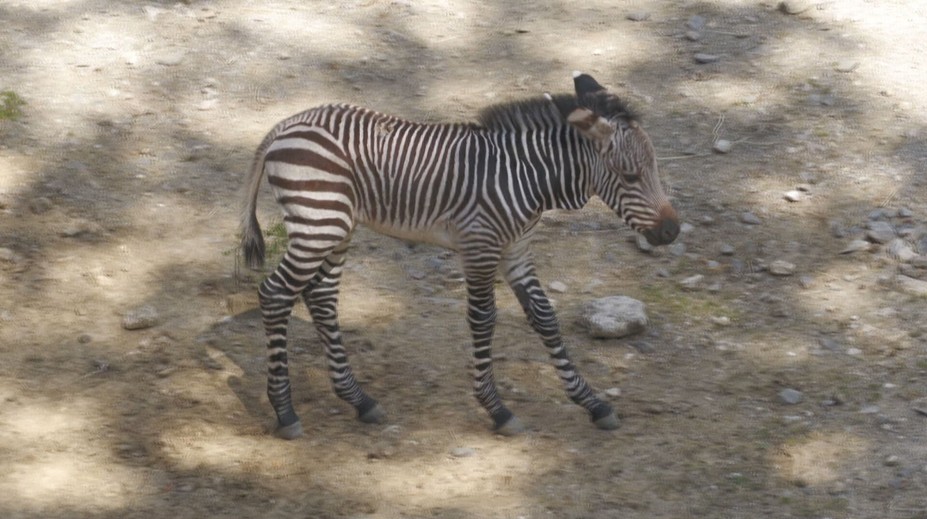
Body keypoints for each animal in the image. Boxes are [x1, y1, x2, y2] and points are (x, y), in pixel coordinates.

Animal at [240, 72, 679, 439]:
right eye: (630, 176)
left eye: (655, 168)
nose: (672, 232)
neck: (528, 178)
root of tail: (287, 124)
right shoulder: (479, 246)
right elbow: (483, 320)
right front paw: (497, 409)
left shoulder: (517, 250)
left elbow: (545, 318)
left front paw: (592, 403)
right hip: (318, 222)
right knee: (276, 294)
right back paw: (285, 411)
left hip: (336, 228)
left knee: (320, 297)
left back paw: (359, 400)